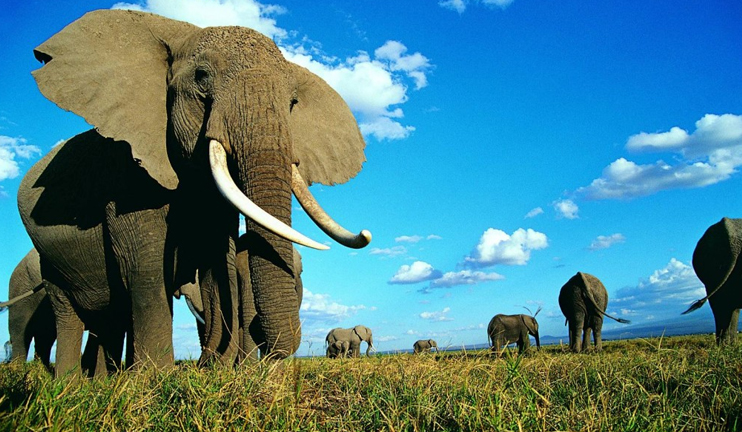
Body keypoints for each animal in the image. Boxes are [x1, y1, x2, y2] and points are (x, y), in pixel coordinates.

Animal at [18, 9, 370, 376]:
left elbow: (218, 262)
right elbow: (147, 271)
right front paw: (156, 378)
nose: (203, 360)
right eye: (201, 78)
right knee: (69, 313)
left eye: (293, 103)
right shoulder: (127, 177)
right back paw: (70, 383)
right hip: (50, 260)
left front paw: (216, 369)